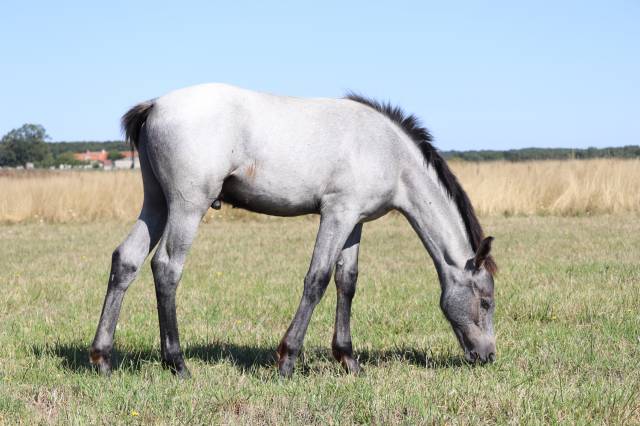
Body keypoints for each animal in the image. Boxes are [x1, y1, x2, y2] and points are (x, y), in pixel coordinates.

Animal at [89, 83, 497, 378]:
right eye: (486, 301)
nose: (489, 356)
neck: (389, 152)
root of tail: (156, 105)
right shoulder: (336, 214)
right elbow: (317, 279)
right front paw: (286, 360)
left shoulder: (354, 222)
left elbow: (346, 282)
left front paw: (348, 359)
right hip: (187, 208)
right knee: (167, 268)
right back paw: (176, 363)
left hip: (156, 205)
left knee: (126, 260)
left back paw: (102, 358)